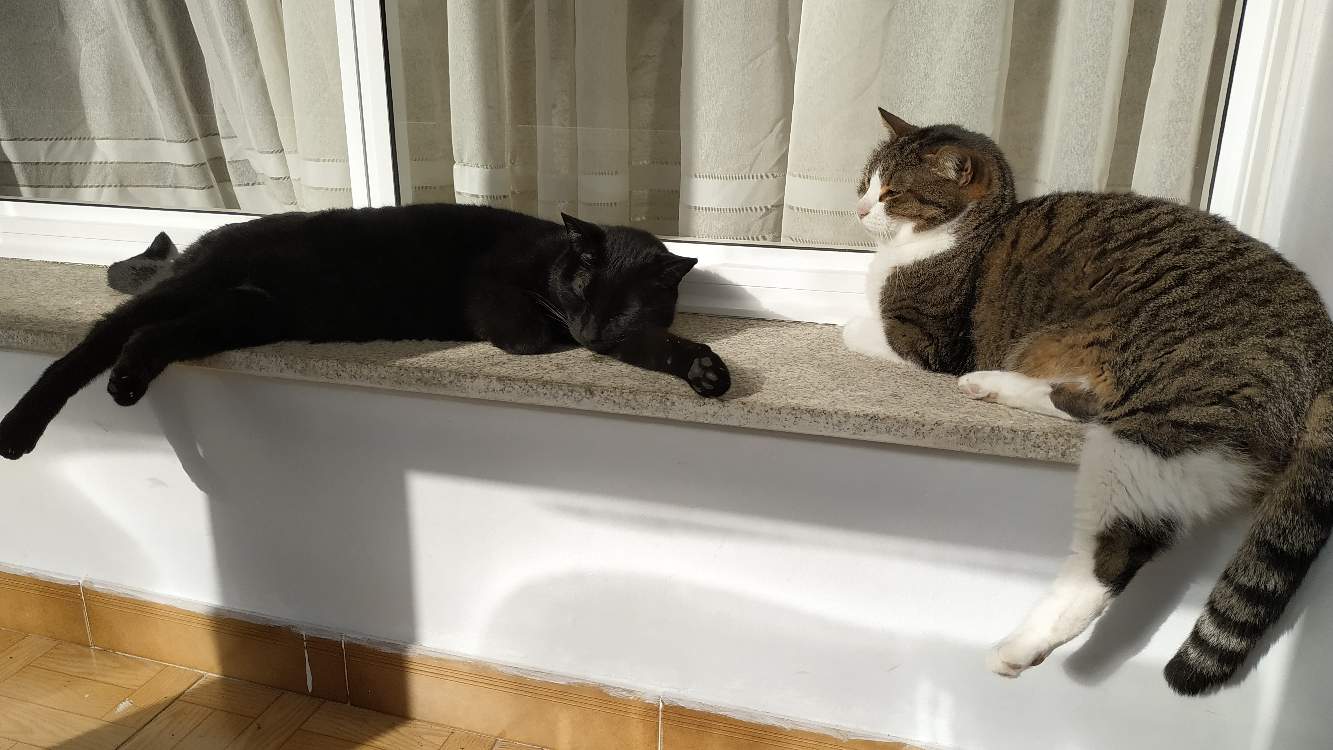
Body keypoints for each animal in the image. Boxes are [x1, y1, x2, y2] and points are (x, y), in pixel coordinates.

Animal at [0, 205, 730, 459]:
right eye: (582, 288)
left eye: (624, 307)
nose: (590, 321)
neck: (548, 262)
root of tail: (202, 243)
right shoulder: (512, 311)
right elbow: (552, 338)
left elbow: (645, 348)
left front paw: (701, 366)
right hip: (206, 293)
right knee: (96, 340)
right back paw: (19, 430)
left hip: (237, 315)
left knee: (152, 337)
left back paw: (127, 380)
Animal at [846, 107, 1333, 696]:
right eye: (865, 181)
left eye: (891, 192)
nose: (858, 205)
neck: (956, 236)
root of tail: (1322, 344)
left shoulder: (930, 342)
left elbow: (854, 328)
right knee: (1080, 404)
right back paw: (991, 384)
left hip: (1152, 433)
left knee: (1112, 553)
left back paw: (1019, 648)